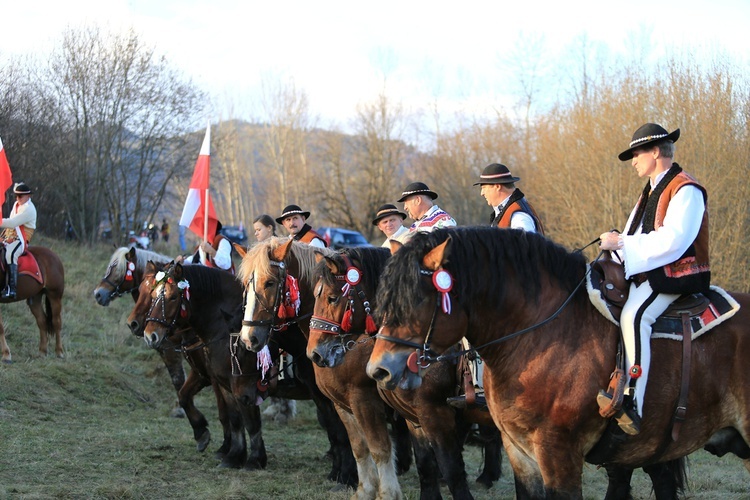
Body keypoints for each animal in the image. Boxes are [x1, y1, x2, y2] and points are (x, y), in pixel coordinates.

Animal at [142, 264, 268, 470]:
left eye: (173, 297)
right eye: (152, 295)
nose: (150, 336)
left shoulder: (239, 382)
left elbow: (245, 418)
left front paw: (249, 457)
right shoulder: (209, 375)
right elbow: (185, 397)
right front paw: (204, 435)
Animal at [238, 238, 362, 488]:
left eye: (270, 282)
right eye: (246, 284)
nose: (249, 338)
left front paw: (348, 476)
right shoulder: (318, 392)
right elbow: (335, 430)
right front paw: (338, 473)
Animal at [312, 247, 506, 500]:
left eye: (332, 297)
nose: (316, 352)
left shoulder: (429, 414)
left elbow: (447, 468)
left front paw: (385, 493)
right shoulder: (410, 416)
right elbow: (421, 463)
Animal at [366, 228, 750, 500]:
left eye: (415, 299)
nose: (379, 370)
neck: (542, 333)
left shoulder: (557, 455)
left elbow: (451, 471)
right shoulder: (518, 452)